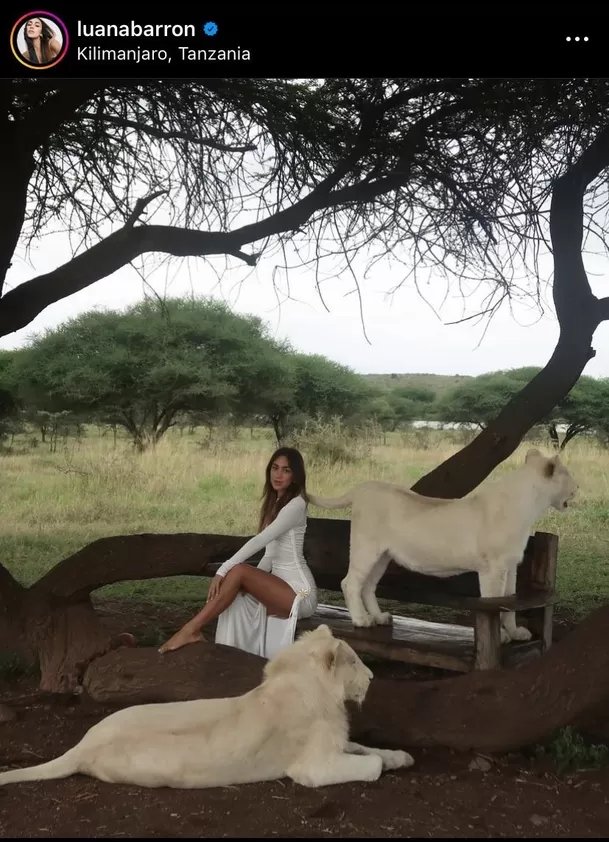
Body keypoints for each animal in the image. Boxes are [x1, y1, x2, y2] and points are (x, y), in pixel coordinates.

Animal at [0, 624, 414, 788]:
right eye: (356, 661)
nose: (373, 677)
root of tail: (83, 744)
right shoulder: (313, 768)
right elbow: (370, 765)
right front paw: (388, 763)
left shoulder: (337, 744)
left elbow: (367, 748)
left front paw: (401, 756)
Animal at [308, 450, 576, 640]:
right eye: (569, 475)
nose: (578, 488)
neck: (530, 506)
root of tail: (362, 487)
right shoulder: (492, 568)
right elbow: (492, 605)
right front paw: (500, 637)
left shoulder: (510, 565)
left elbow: (509, 602)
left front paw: (515, 633)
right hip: (366, 548)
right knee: (350, 583)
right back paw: (361, 620)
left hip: (383, 555)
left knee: (368, 585)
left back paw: (379, 617)